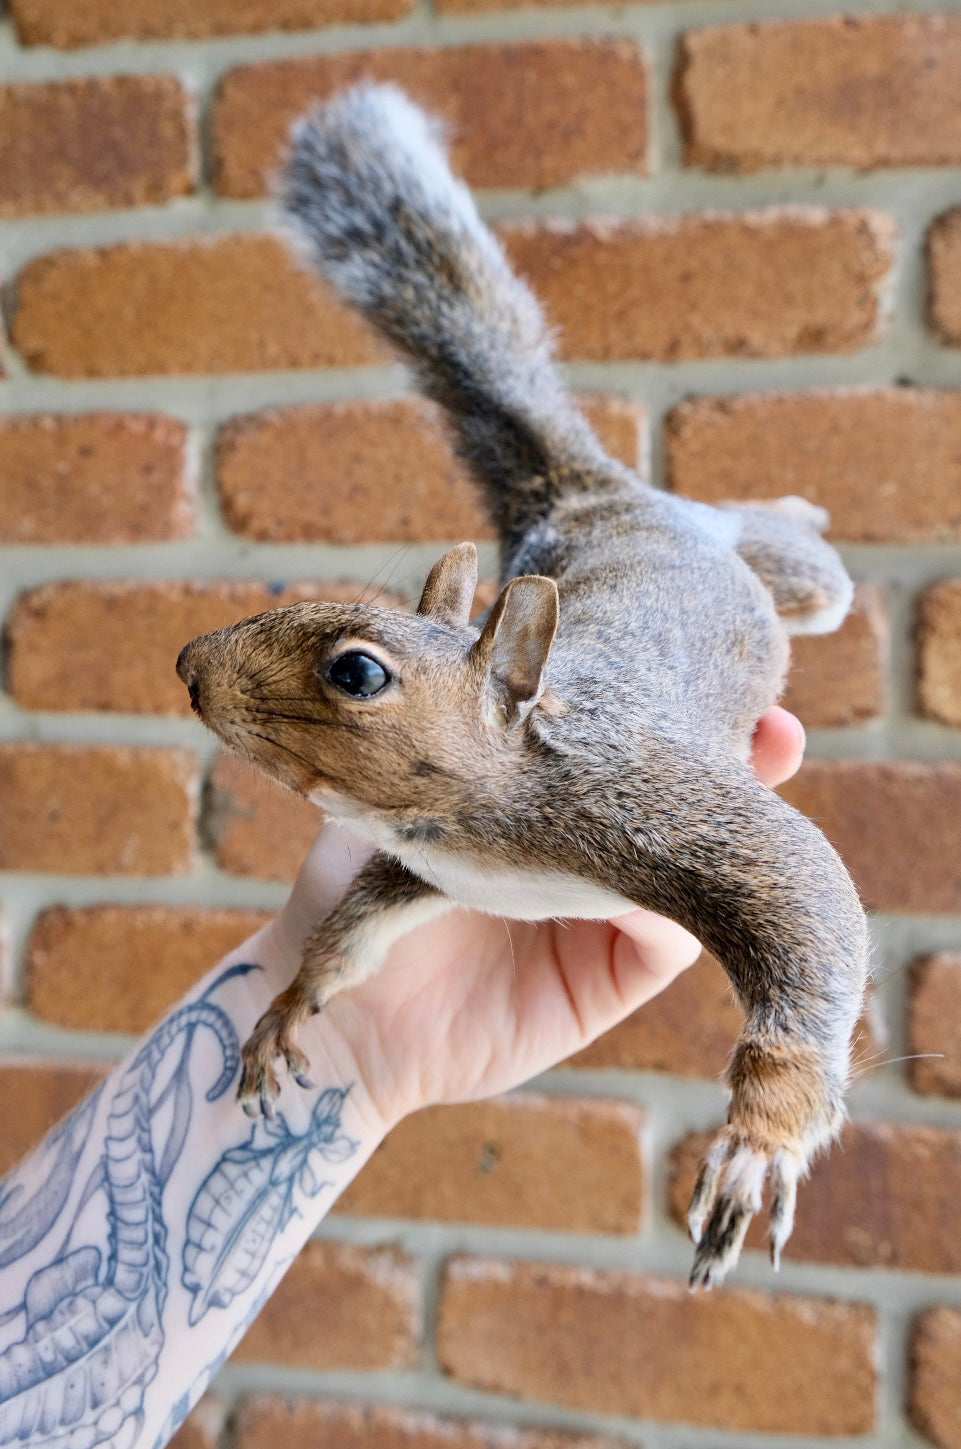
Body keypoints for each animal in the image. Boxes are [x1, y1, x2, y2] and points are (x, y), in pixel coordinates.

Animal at [176, 82, 868, 1289]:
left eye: (357, 670)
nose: (186, 667)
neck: (469, 825)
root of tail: (596, 500)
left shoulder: (658, 800)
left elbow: (805, 903)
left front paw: (758, 1142)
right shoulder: (414, 869)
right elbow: (349, 931)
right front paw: (292, 1000)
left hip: (773, 568)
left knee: (800, 561)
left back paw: (795, 510)